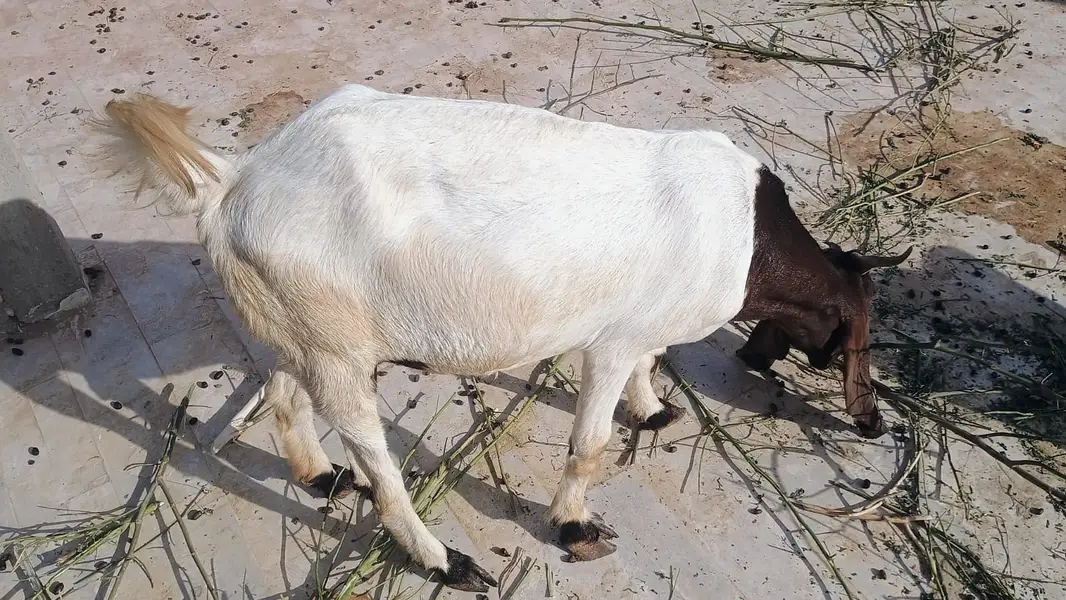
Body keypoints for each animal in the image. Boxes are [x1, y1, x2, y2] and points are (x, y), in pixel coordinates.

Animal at [94, 85, 910, 593]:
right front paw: (574, 526)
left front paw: (652, 409)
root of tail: (232, 181)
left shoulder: (640, 328)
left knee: (286, 394)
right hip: (335, 347)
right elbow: (591, 442)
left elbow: (652, 362)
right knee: (380, 467)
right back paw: (441, 560)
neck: (748, 239)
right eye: (861, 341)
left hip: (315, 331)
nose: (873, 423)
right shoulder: (609, 341)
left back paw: (320, 477)